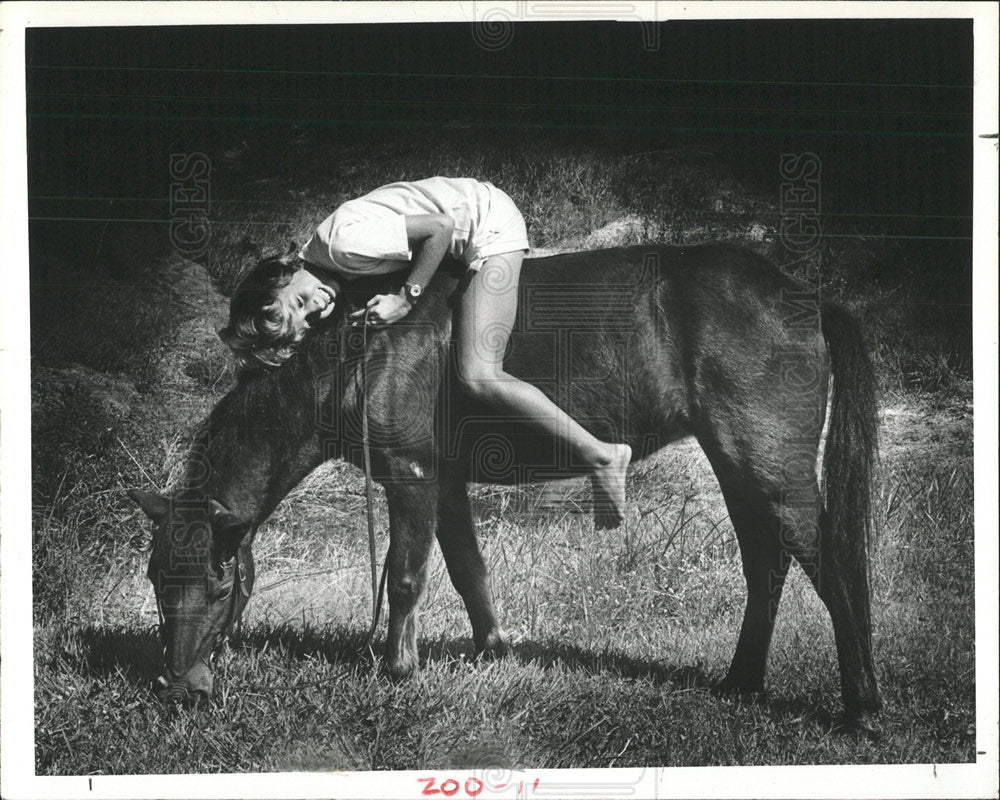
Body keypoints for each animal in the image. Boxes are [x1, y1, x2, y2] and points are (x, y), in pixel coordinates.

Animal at [129, 245, 880, 732]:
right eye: (158, 579)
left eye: (219, 583)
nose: (178, 687)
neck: (357, 348)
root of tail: (807, 297)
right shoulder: (445, 483)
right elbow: (468, 569)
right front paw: (492, 648)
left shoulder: (411, 475)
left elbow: (408, 575)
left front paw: (398, 669)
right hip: (737, 463)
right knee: (766, 564)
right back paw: (742, 684)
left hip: (767, 464)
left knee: (826, 563)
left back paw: (863, 708)